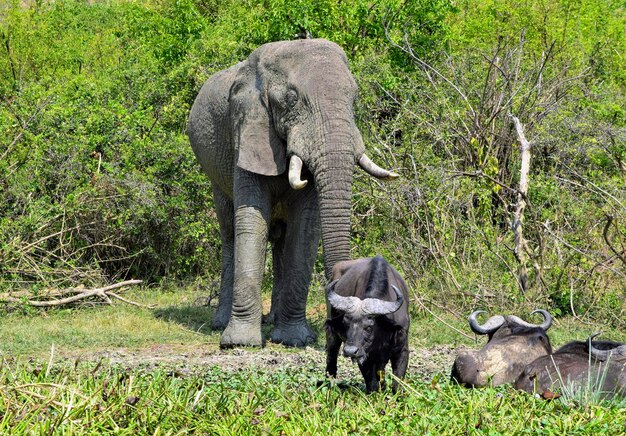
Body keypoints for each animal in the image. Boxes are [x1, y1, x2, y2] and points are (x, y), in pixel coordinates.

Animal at [185, 39, 398, 350]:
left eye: (354, 98)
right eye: (291, 99)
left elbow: (305, 229)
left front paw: (294, 339)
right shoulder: (247, 129)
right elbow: (251, 220)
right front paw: (240, 343)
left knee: (281, 240)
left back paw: (274, 322)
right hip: (214, 172)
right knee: (229, 231)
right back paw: (220, 323)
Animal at [322, 255, 410, 392]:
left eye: (368, 327)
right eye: (346, 325)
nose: (350, 351)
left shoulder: (402, 350)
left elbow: (397, 381)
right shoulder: (364, 355)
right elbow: (372, 383)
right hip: (332, 335)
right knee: (331, 358)